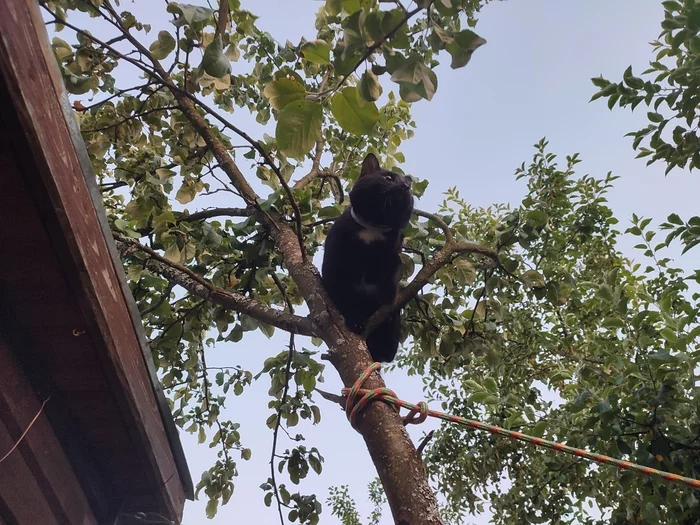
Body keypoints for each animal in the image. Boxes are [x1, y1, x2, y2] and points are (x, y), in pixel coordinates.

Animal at [324, 154, 416, 362]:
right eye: (388, 178)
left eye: (408, 186)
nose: (405, 185)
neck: (372, 227)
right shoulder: (335, 267)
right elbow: (343, 298)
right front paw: (354, 321)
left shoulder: (393, 258)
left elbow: (391, 278)